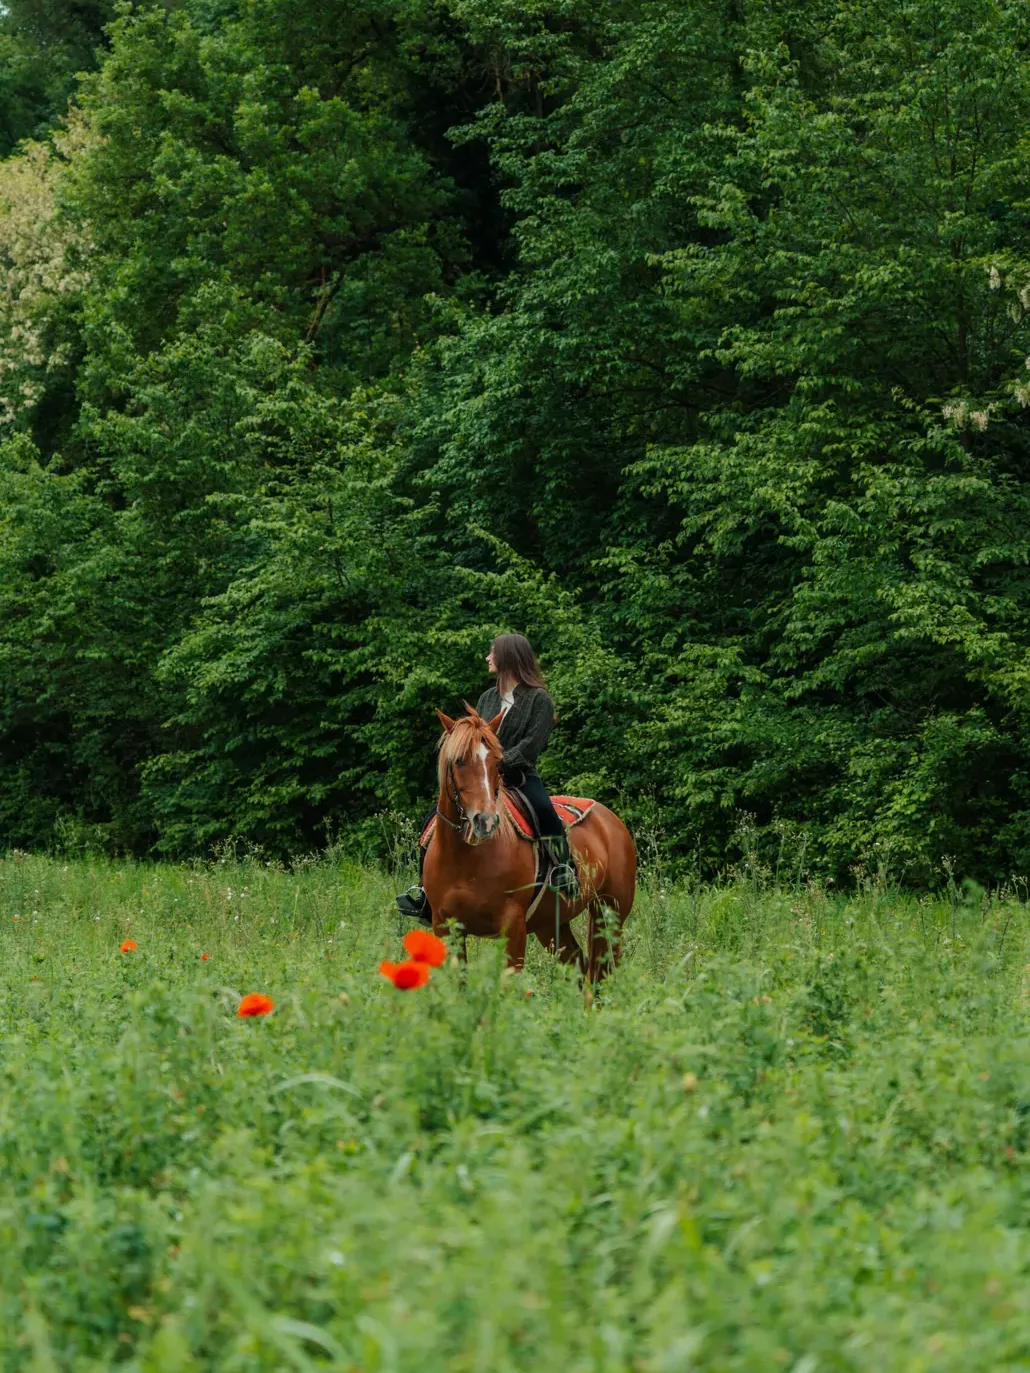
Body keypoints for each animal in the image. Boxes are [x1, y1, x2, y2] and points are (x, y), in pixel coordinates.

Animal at [421, 707, 636, 982]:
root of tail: (611, 820)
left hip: (610, 914)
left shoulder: (512, 927)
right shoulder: (445, 926)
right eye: (459, 761)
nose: (486, 821)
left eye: (497, 763)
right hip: (552, 925)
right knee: (579, 963)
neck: (466, 859)